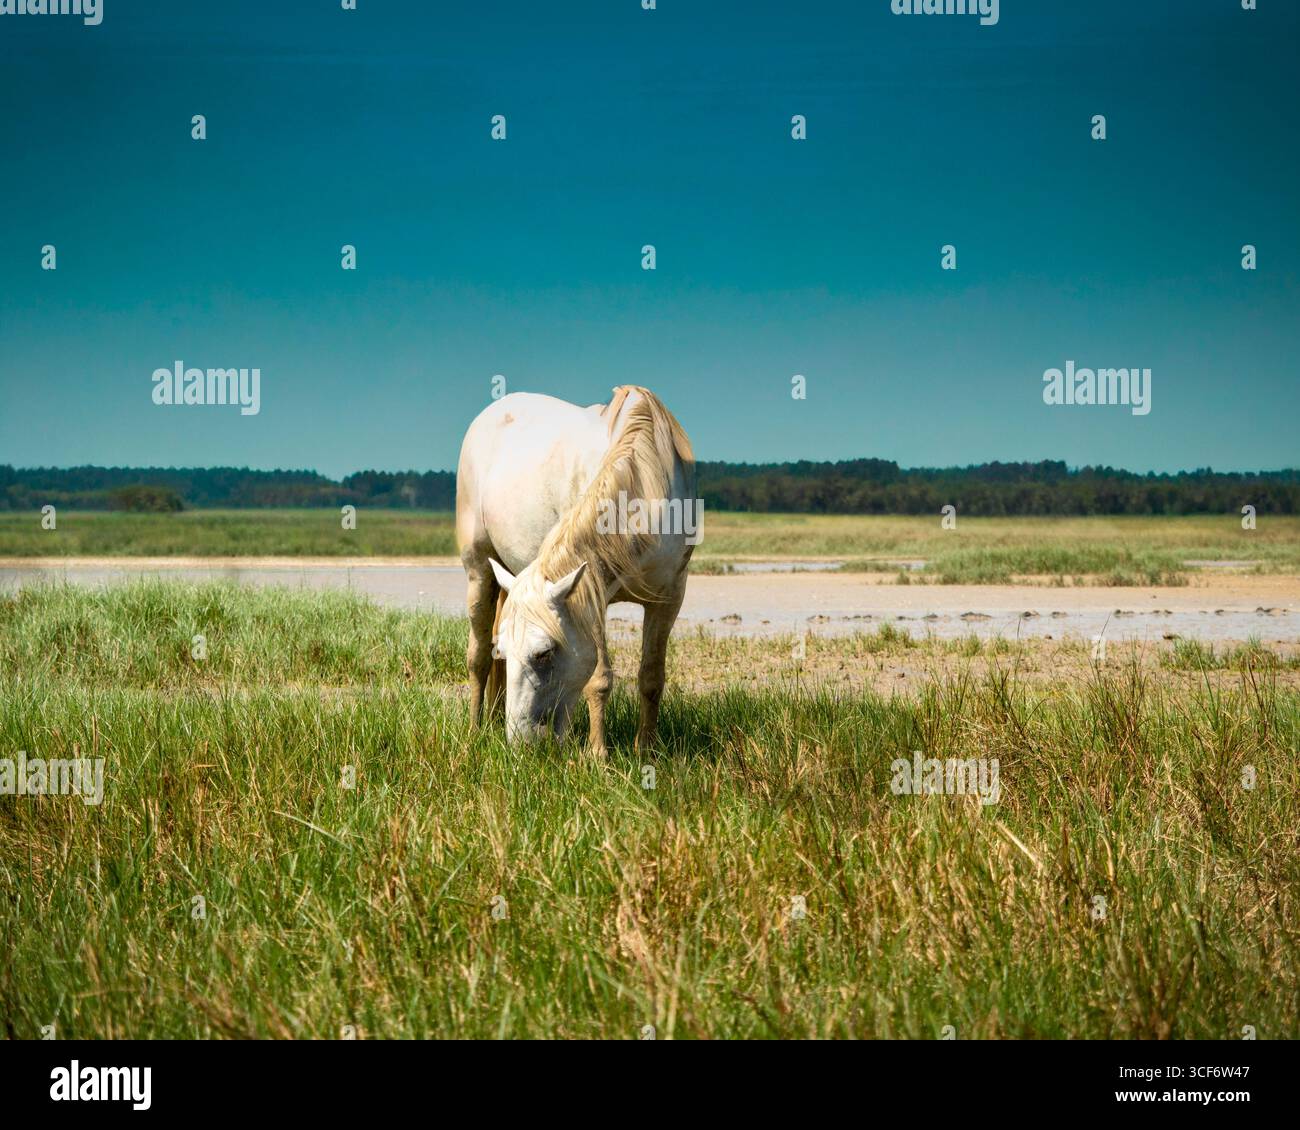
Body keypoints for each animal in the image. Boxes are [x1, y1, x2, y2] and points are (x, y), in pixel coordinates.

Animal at [455, 386, 697, 755]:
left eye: (544, 653)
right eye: (508, 652)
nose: (520, 743)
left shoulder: (670, 596)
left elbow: (652, 677)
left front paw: (646, 749)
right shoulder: (590, 596)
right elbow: (599, 679)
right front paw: (597, 754)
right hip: (479, 570)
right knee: (478, 657)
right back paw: (474, 730)